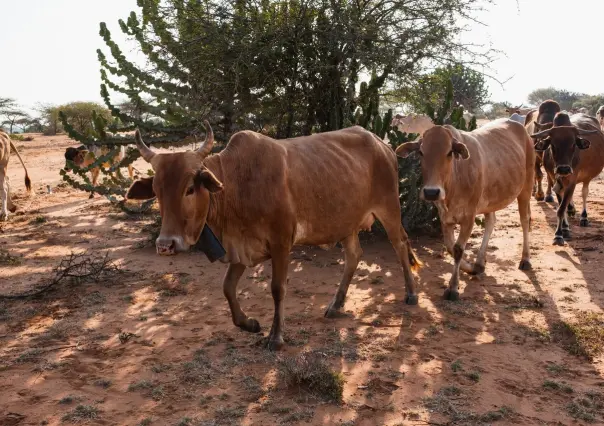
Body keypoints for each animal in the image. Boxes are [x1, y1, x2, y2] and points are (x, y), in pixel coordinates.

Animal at [125, 121, 422, 352]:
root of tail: (382, 144)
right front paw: (249, 324)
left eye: (189, 188)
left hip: (389, 208)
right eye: (157, 191)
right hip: (346, 222)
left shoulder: (281, 244)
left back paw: (411, 294)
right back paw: (335, 305)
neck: (236, 184)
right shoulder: (241, 248)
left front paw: (276, 337)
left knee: (400, 244)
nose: (166, 245)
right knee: (354, 255)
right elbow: (227, 288)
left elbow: (277, 289)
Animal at [396, 118, 532, 302]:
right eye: (421, 153)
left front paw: (453, 288)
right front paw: (472, 268)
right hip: (490, 199)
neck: (454, 180)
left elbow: (458, 249)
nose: (431, 192)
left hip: (526, 188)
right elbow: (450, 247)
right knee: (491, 222)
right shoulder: (445, 217)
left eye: (449, 152)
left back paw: (525, 259)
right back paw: (479, 262)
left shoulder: (469, 217)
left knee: (525, 221)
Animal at [528, 113, 604, 245]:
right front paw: (564, 229)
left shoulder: (572, 181)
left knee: (584, 193)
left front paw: (559, 235)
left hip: (587, 178)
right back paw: (571, 210)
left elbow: (561, 208)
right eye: (553, 144)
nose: (564, 169)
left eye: (573, 144)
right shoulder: (555, 180)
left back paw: (584, 217)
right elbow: (561, 207)